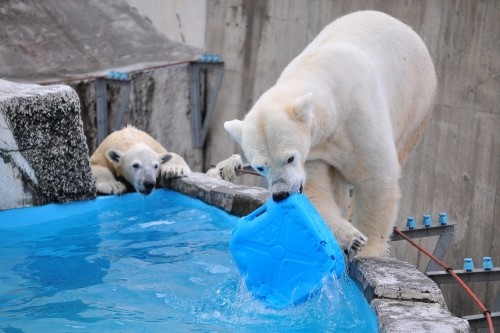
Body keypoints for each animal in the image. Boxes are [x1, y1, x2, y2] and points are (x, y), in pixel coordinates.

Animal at [225, 9, 436, 254]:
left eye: (289, 158)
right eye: (260, 167)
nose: (280, 194)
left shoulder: (358, 115)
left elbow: (376, 176)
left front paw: (369, 247)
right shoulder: (316, 150)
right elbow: (315, 187)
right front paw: (352, 238)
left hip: (415, 103)